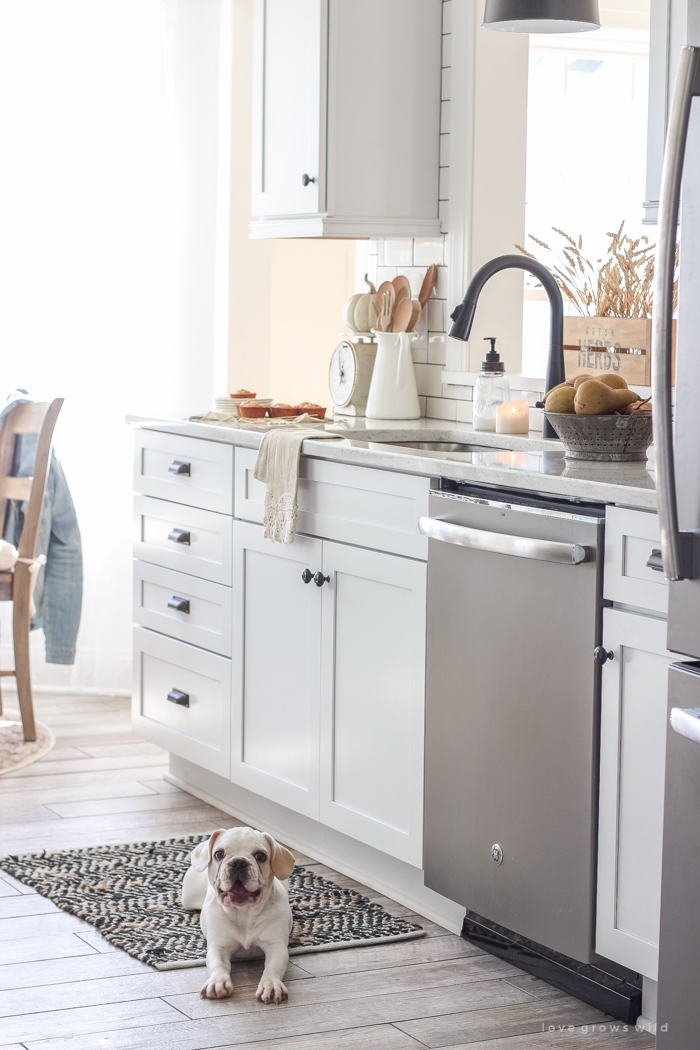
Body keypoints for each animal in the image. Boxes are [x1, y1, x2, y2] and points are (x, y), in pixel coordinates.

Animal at [182, 827, 293, 999]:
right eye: (218, 854)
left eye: (260, 856)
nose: (239, 862)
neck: (243, 912)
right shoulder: (219, 947)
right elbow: (218, 964)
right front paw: (217, 982)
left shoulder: (276, 946)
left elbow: (273, 966)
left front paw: (271, 985)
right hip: (188, 897)